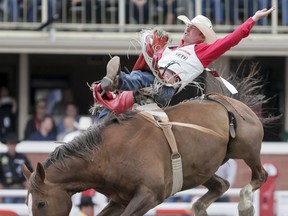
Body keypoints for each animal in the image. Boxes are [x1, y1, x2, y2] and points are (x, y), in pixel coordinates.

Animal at [22, 92, 268, 215]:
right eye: (27, 203)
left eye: (41, 204)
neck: (106, 155)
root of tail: (232, 102)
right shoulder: (119, 200)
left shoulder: (149, 195)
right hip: (200, 170)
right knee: (221, 185)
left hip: (246, 148)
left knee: (260, 176)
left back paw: (246, 206)